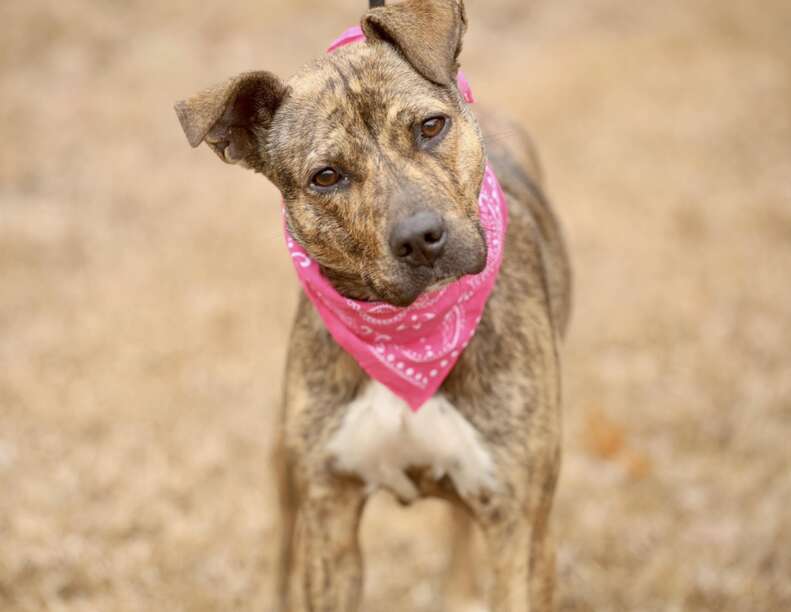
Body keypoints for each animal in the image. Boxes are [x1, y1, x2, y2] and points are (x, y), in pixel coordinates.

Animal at [175, 1, 568, 612]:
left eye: (430, 127)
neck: (411, 335)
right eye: (326, 177)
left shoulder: (518, 520)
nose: (420, 238)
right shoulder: (330, 514)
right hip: (288, 469)